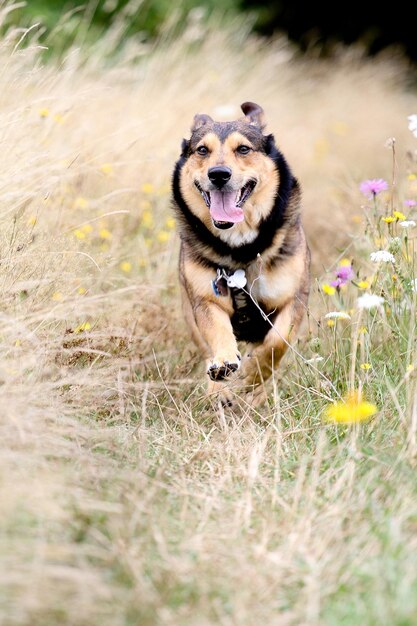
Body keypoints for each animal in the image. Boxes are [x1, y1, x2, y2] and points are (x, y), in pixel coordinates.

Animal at [171, 101, 310, 404]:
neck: (240, 246)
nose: (219, 174)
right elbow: (218, 332)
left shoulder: (293, 298)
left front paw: (252, 374)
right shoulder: (205, 299)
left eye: (244, 149)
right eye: (202, 150)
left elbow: (276, 343)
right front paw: (225, 365)